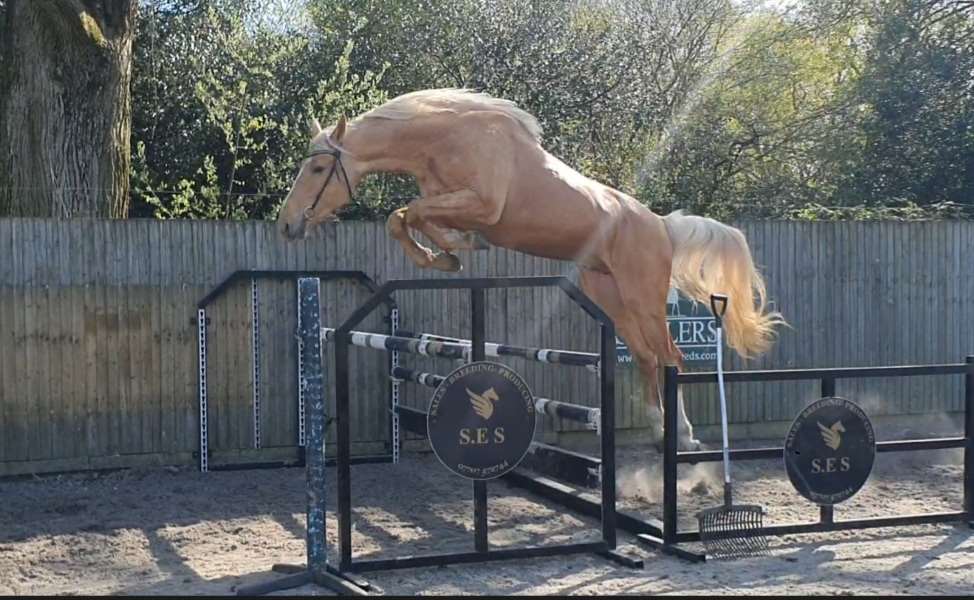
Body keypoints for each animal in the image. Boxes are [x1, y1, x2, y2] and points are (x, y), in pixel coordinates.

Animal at [276, 88, 784, 450]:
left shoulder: (482, 206)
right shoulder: (451, 203)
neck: (446, 139)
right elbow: (405, 217)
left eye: (318, 169)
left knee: (670, 358)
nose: (286, 224)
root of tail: (660, 225)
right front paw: (449, 254)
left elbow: (408, 213)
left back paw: (684, 436)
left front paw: (452, 250)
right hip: (609, 296)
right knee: (645, 358)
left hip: (643, 296)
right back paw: (659, 432)